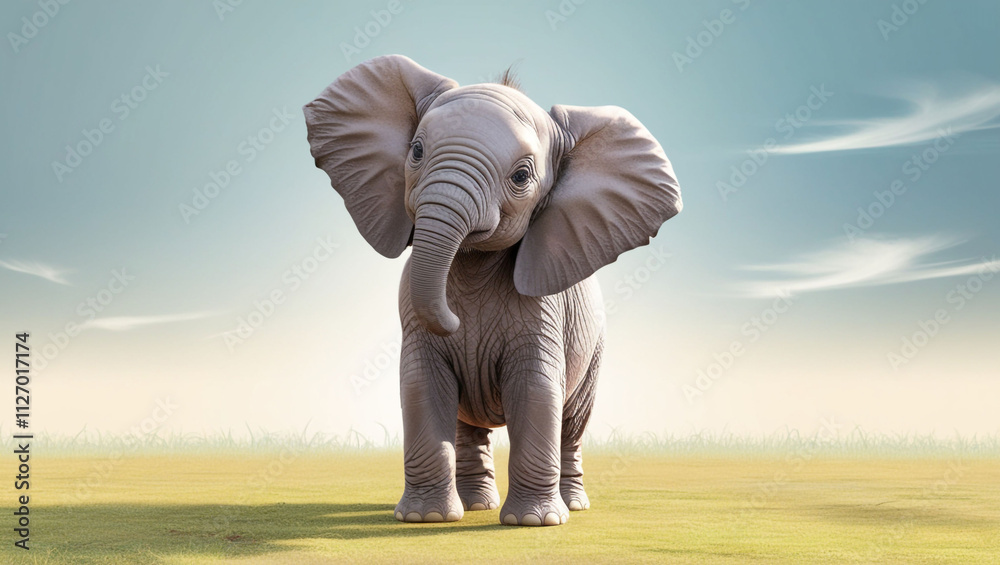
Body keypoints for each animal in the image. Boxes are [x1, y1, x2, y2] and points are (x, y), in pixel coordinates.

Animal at [303, 55, 682, 526]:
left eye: (521, 176)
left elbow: (536, 388)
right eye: (416, 151)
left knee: (572, 423)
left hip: (594, 349)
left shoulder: (546, 312)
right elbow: (422, 384)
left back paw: (571, 505)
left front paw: (534, 523)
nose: (452, 320)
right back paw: (474, 506)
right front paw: (427, 518)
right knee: (467, 426)